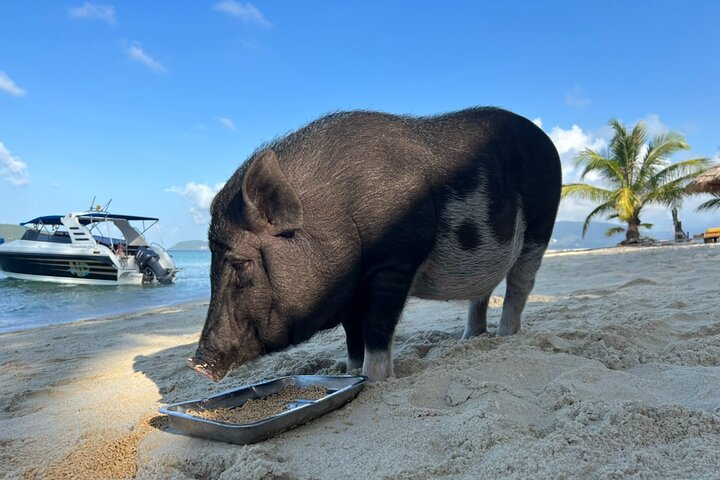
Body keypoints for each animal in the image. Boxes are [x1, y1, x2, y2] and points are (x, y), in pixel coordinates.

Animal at [186, 108, 564, 382]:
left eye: (239, 263)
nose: (196, 362)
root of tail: (547, 139)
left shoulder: (396, 261)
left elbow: (377, 326)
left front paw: (375, 380)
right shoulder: (349, 290)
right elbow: (353, 334)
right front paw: (351, 373)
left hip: (542, 222)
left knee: (520, 284)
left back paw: (506, 337)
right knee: (481, 291)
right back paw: (470, 339)